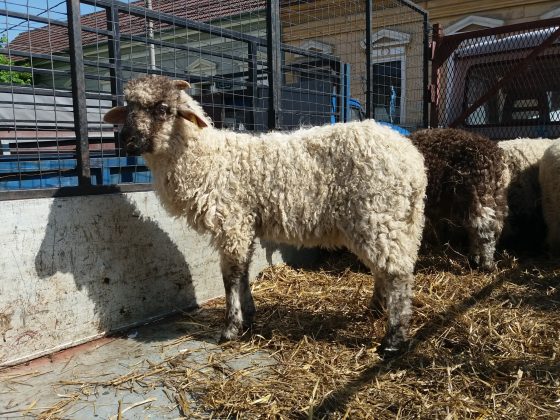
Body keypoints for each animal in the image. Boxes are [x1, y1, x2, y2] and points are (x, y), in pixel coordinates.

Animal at [103, 75, 427, 356]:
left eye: (162, 109)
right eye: (128, 108)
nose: (127, 139)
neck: (207, 157)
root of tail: (412, 161)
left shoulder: (232, 221)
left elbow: (231, 276)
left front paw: (231, 328)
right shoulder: (244, 225)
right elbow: (243, 272)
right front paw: (248, 315)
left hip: (377, 213)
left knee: (397, 273)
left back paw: (393, 339)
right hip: (396, 220)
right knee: (389, 268)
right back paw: (376, 309)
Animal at [409, 128, 508, 270]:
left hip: (477, 193)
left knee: (484, 230)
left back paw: (486, 264)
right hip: (494, 196)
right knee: (490, 227)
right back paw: (475, 260)